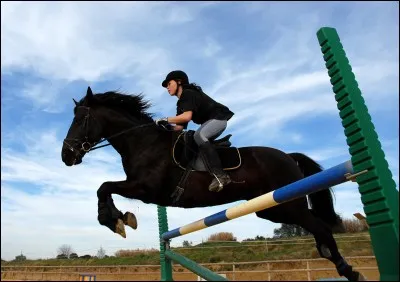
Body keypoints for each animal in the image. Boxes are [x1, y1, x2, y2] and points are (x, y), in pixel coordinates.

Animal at [61, 87, 366, 280]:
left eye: (81, 119)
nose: (66, 155)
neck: (143, 142)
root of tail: (288, 156)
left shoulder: (147, 189)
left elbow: (104, 186)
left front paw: (116, 220)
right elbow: (104, 187)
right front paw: (120, 219)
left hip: (286, 204)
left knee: (320, 226)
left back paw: (347, 270)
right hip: (271, 208)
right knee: (316, 224)